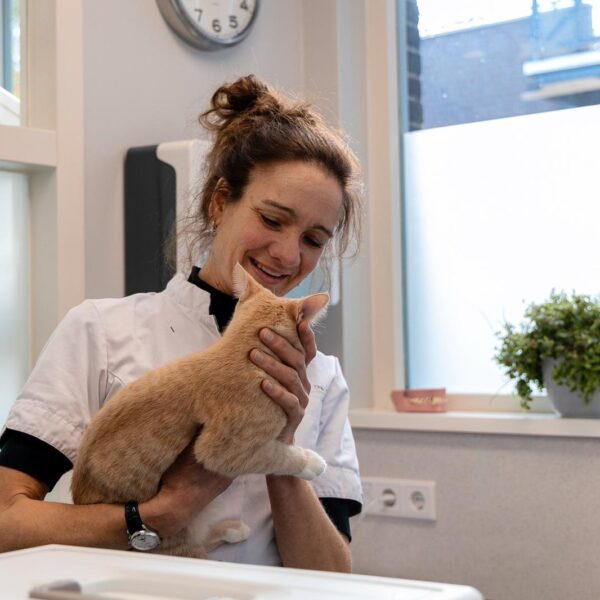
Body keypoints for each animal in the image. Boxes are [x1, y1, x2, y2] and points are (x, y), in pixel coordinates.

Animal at [71, 263, 329, 558]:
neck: (238, 352)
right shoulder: (220, 450)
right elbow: (277, 455)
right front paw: (310, 462)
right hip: (176, 537)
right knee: (197, 548)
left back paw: (233, 530)